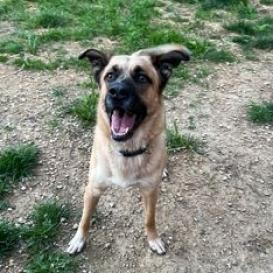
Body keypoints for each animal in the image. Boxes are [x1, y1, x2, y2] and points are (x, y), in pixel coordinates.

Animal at [66, 43, 189, 254]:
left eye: (142, 78)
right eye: (109, 76)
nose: (117, 92)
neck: (127, 149)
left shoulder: (150, 191)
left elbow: (150, 219)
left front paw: (153, 239)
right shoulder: (92, 189)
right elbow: (85, 218)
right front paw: (78, 239)